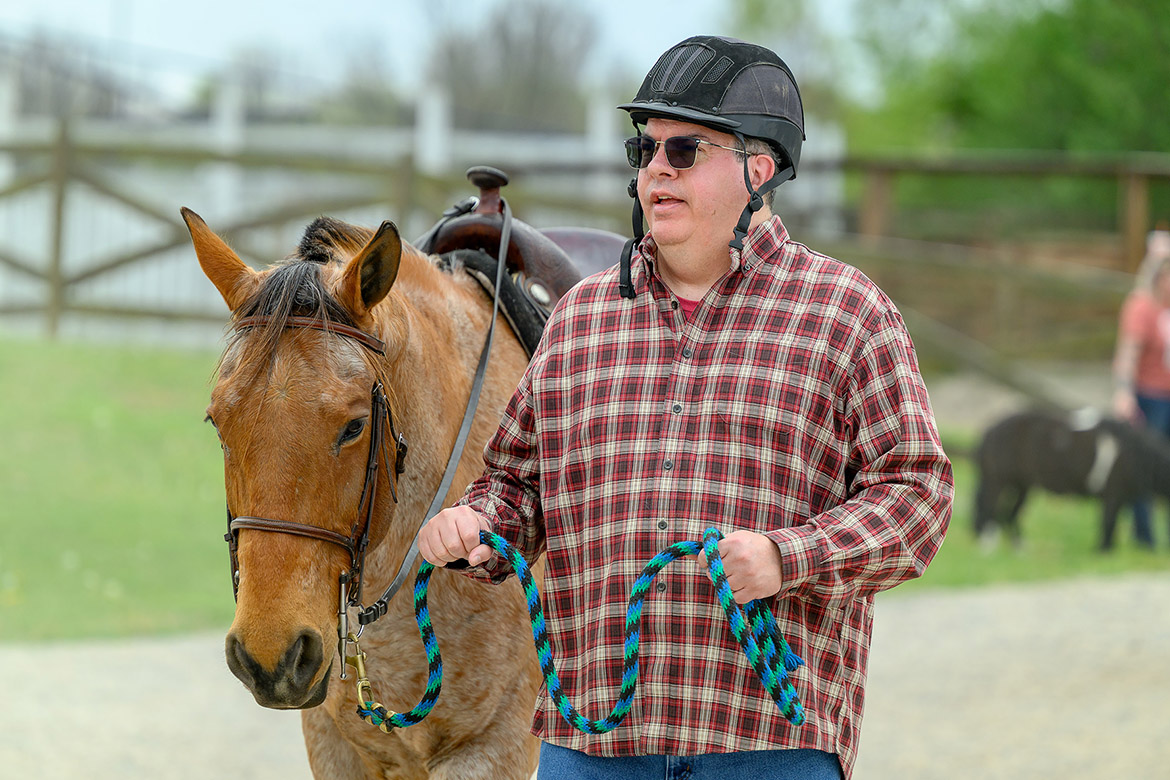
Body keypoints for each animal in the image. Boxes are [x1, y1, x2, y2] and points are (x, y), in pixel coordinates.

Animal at [973, 407, 1170, 550]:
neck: (1134, 451)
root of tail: (990, 432)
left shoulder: (1119, 499)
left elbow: (1111, 526)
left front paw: (1108, 550)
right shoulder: (1112, 495)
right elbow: (1108, 523)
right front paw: (1102, 551)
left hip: (1022, 486)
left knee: (1010, 514)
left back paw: (1019, 548)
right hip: (996, 482)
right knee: (989, 510)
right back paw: (987, 547)